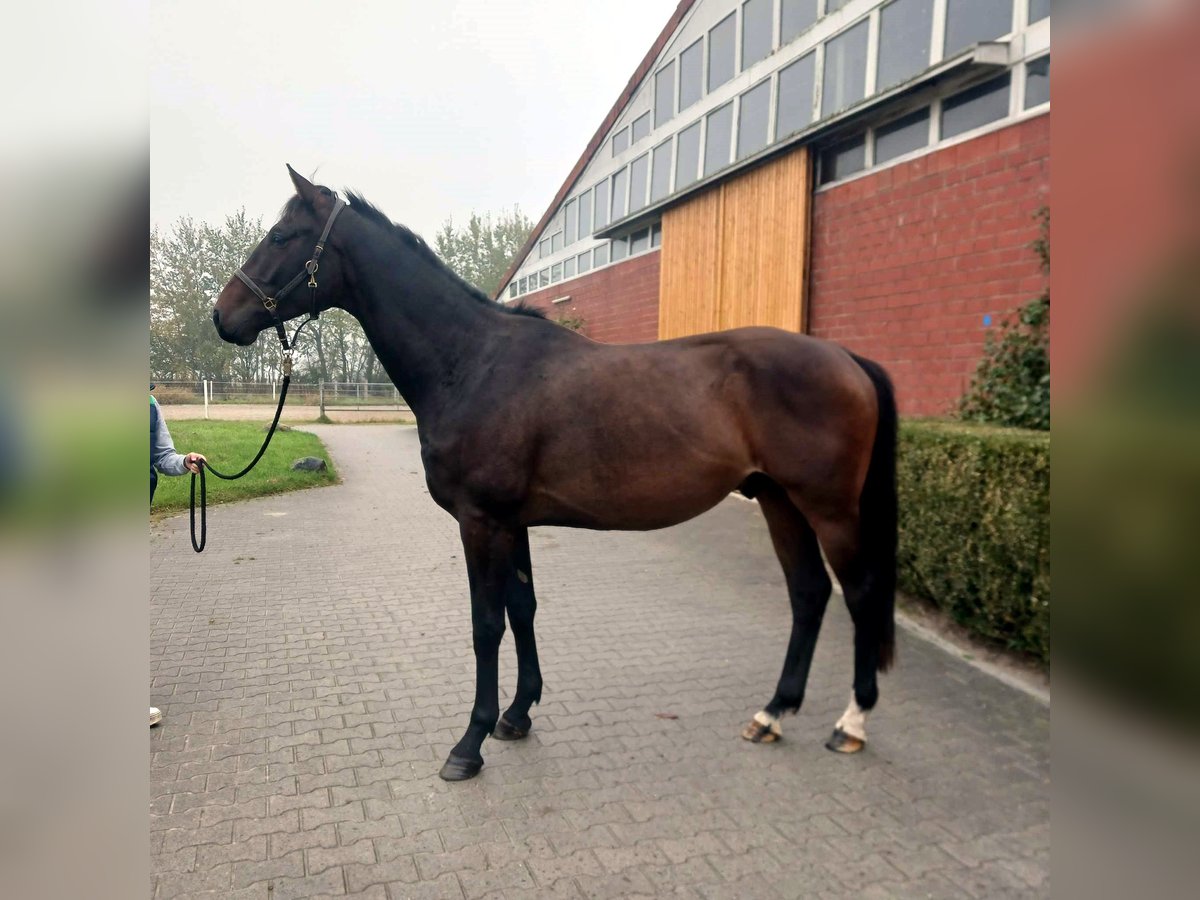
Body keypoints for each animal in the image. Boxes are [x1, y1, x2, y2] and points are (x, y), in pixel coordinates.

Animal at [211, 168, 897, 782]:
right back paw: (773, 713)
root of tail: (845, 357)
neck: (472, 361)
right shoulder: (512, 523)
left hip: (829, 508)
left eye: (281, 236)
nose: (224, 316)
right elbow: (523, 609)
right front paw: (517, 715)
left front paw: (470, 743)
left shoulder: (481, 522)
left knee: (859, 593)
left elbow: (486, 624)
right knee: (808, 593)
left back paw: (852, 724)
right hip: (779, 500)